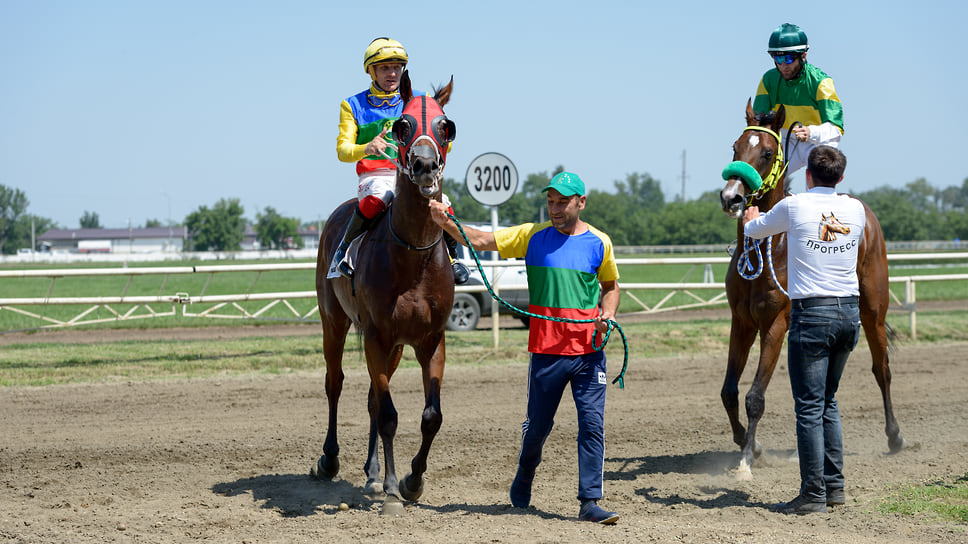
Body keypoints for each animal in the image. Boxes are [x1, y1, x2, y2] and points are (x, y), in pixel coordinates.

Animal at [314, 72, 458, 516]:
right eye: (402, 126)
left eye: (446, 125)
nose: (425, 165)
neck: (413, 255)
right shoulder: (376, 335)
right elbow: (391, 415)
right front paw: (395, 490)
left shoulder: (430, 340)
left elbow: (431, 416)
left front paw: (411, 481)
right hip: (334, 322)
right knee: (335, 383)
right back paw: (329, 460)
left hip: (394, 346)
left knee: (373, 400)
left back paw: (373, 473)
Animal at [716, 99, 904, 480]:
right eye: (735, 148)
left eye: (767, 152)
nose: (732, 198)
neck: (769, 248)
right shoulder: (741, 322)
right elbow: (729, 392)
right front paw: (751, 445)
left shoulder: (775, 324)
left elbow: (755, 396)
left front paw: (747, 459)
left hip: (873, 311)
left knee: (882, 369)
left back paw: (894, 437)